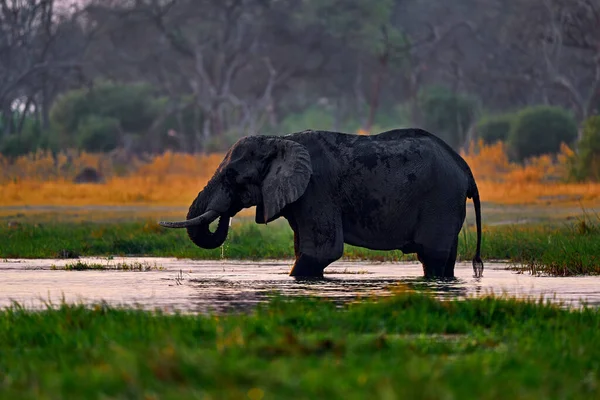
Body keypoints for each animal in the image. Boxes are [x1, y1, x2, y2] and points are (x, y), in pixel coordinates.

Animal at [158, 128, 482, 278]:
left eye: (232, 176)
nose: (225, 212)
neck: (278, 140)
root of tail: (463, 166)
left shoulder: (316, 189)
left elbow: (321, 251)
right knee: (445, 259)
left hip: (440, 199)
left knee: (432, 256)